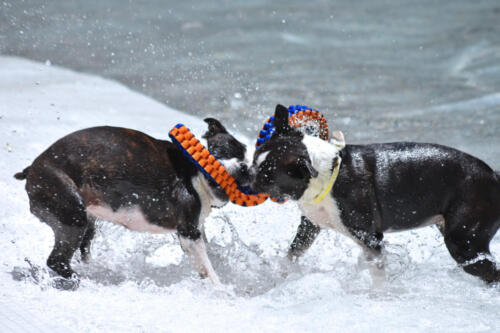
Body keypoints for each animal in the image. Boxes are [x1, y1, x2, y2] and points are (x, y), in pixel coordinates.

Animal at [14, 118, 249, 288]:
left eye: (246, 155)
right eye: (220, 151)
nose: (243, 168)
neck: (194, 172)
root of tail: (32, 168)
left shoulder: (193, 232)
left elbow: (206, 260)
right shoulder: (189, 233)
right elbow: (208, 267)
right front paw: (222, 289)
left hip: (85, 220)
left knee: (81, 249)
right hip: (71, 212)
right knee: (57, 260)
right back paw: (84, 280)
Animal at [254, 105, 500, 284]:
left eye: (266, 177)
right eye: (254, 159)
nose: (247, 177)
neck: (328, 174)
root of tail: (494, 176)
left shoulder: (370, 239)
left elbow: (378, 274)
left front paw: (379, 296)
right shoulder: (310, 226)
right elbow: (292, 254)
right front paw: (279, 276)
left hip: (464, 243)